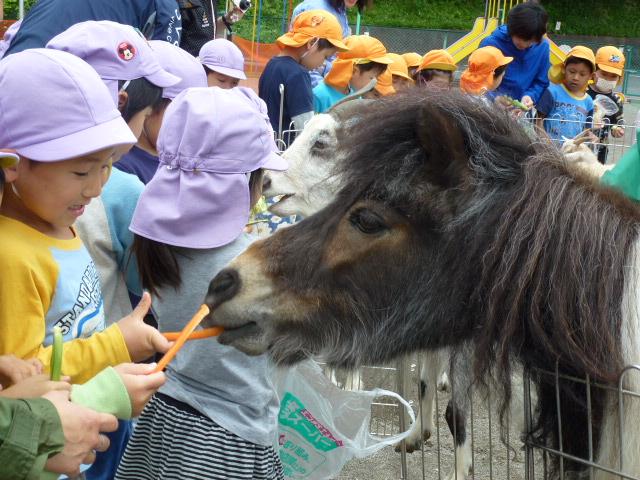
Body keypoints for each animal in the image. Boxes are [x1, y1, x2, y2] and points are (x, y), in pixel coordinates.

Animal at [204, 89, 640, 476]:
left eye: (321, 144)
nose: (226, 283)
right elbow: (421, 380)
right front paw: (412, 431)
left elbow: (457, 411)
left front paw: (460, 468)